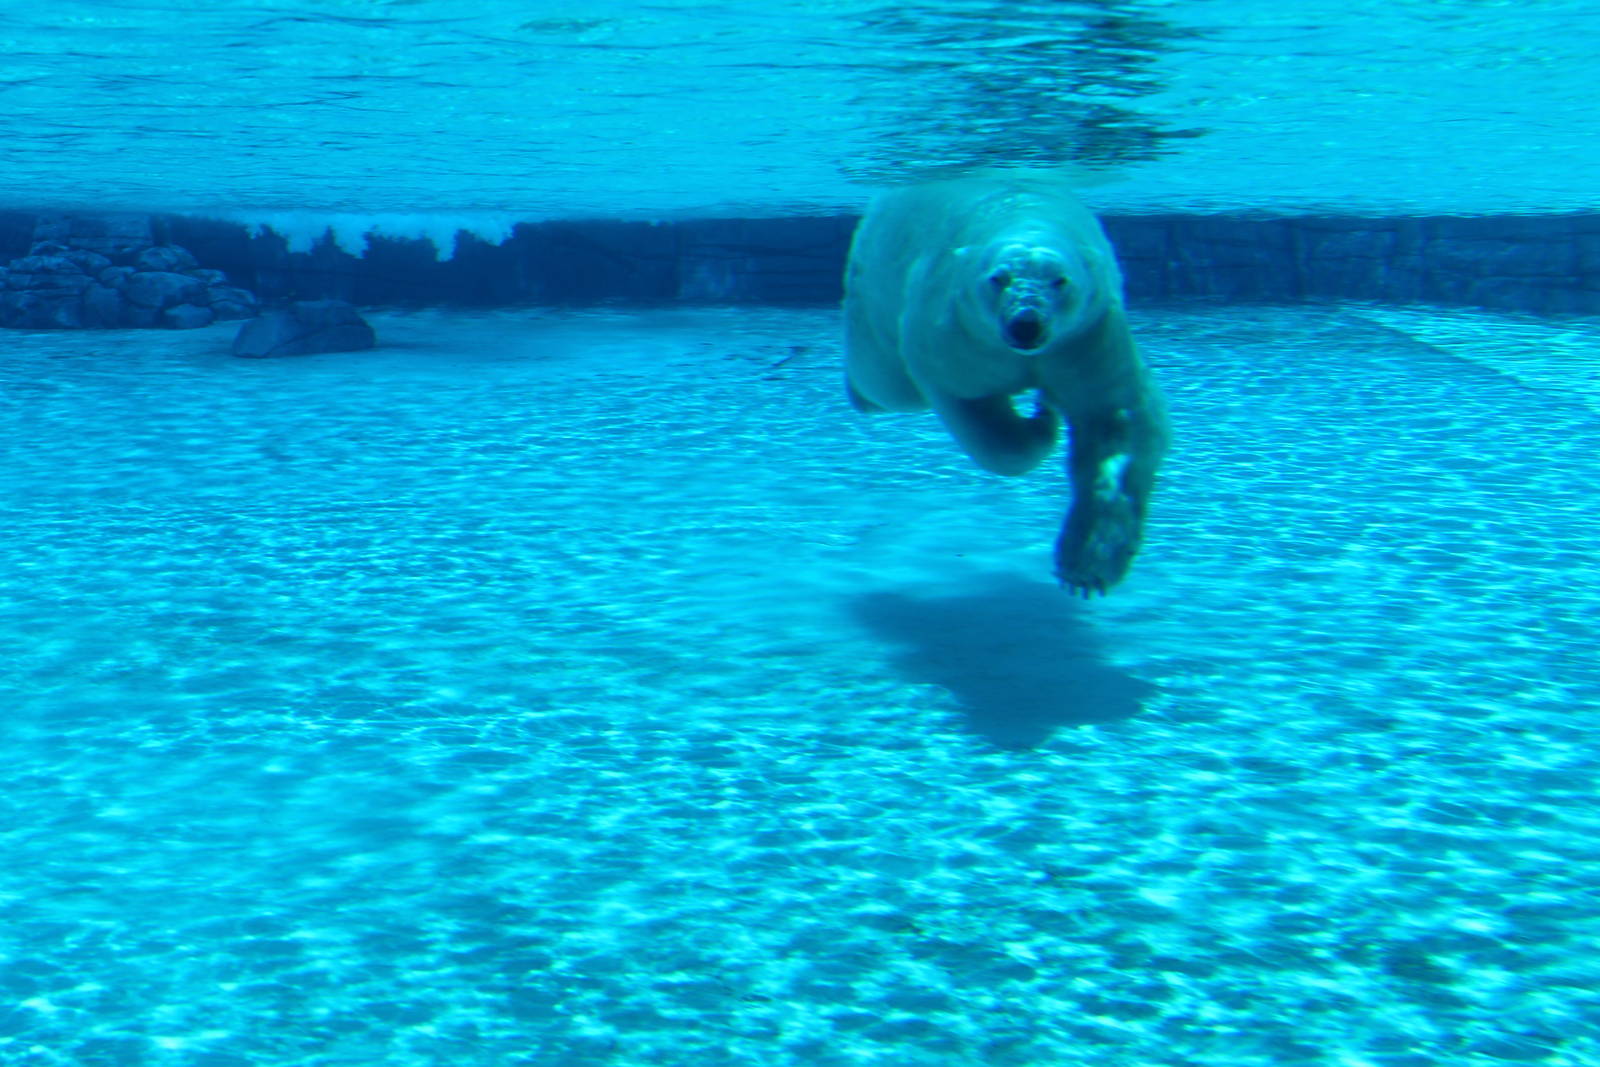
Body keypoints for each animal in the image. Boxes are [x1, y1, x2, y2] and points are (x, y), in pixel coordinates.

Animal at [843, 171, 1170, 596]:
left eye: (1060, 280)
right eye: (998, 278)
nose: (1026, 324)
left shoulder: (1086, 335)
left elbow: (1114, 419)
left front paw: (1088, 564)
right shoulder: (956, 333)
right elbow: (981, 415)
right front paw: (1042, 423)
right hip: (875, 296)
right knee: (885, 383)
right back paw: (861, 396)